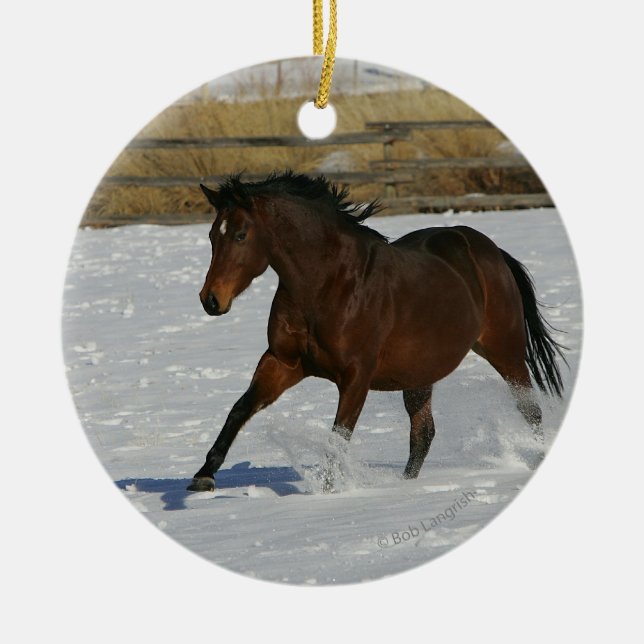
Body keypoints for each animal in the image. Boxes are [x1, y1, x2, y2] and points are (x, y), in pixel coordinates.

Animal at [186, 171, 566, 492]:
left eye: (240, 235)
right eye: (212, 235)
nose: (211, 300)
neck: (328, 284)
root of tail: (490, 251)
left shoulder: (356, 376)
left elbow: (338, 437)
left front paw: (329, 493)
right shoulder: (283, 363)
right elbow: (239, 409)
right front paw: (204, 476)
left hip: (505, 351)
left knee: (530, 410)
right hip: (420, 374)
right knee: (423, 433)